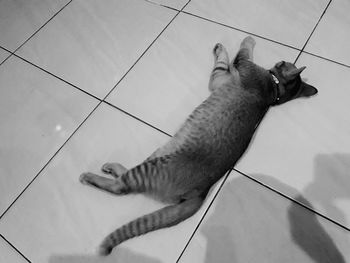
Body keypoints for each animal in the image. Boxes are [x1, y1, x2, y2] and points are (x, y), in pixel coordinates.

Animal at [79, 36, 318, 256]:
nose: (282, 60)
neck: (274, 90)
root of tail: (203, 191)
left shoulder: (228, 73)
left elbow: (235, 55)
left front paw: (245, 40)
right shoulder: (224, 79)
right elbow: (226, 60)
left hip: (152, 166)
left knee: (120, 187)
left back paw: (90, 177)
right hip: (159, 152)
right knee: (124, 176)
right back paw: (112, 168)